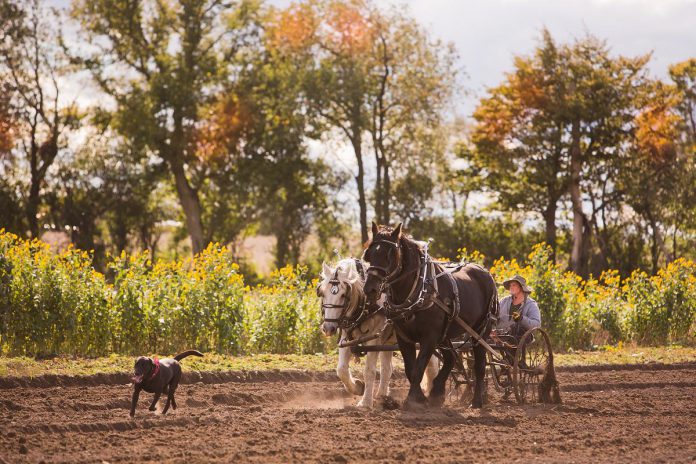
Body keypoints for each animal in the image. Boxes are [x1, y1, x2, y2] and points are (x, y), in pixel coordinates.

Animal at [318, 260, 438, 408]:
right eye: (323, 293)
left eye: (342, 295)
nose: (328, 328)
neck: (366, 303)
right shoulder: (347, 338)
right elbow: (341, 370)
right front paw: (358, 387)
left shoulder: (374, 340)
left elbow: (369, 371)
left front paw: (365, 402)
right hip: (389, 342)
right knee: (387, 369)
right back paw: (382, 396)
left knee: (432, 366)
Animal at [362, 223, 498, 408]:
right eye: (370, 254)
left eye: (390, 255)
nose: (370, 289)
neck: (418, 291)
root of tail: (485, 272)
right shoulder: (404, 338)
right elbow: (410, 369)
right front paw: (422, 397)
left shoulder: (430, 337)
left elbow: (419, 368)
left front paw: (412, 400)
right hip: (445, 334)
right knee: (451, 357)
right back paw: (437, 392)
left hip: (480, 331)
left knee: (479, 366)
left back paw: (476, 401)